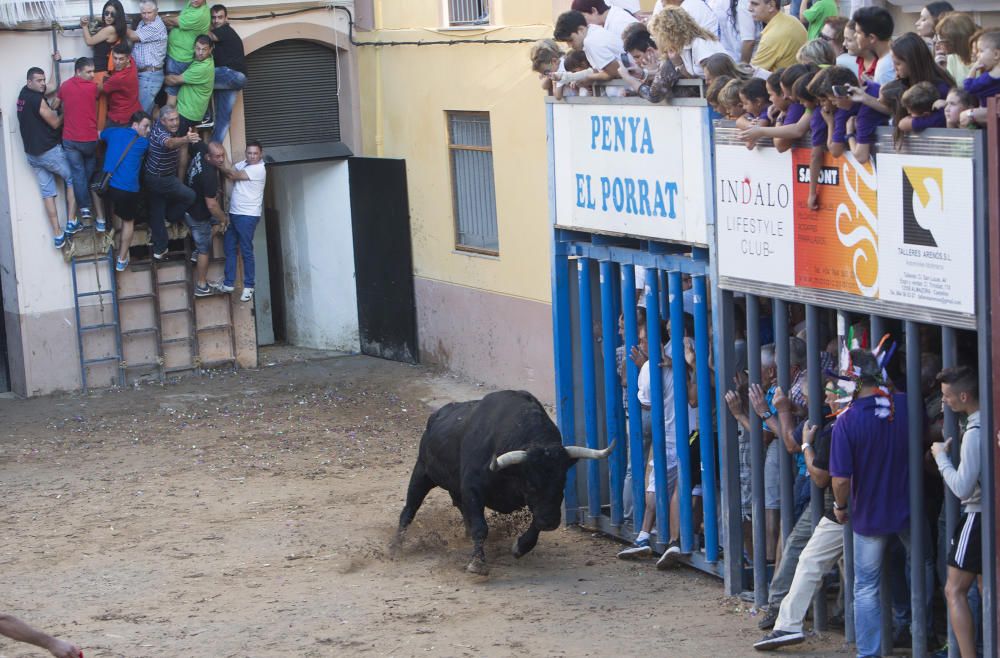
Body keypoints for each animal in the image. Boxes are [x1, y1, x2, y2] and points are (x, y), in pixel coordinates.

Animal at [394, 390, 612, 576]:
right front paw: (477, 564)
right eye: (531, 484)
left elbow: (534, 525)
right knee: (409, 509)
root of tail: (436, 416)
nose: (551, 522)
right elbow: (480, 527)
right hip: (422, 472)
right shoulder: (472, 488)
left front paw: (519, 547)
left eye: (562, 482)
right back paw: (394, 547)